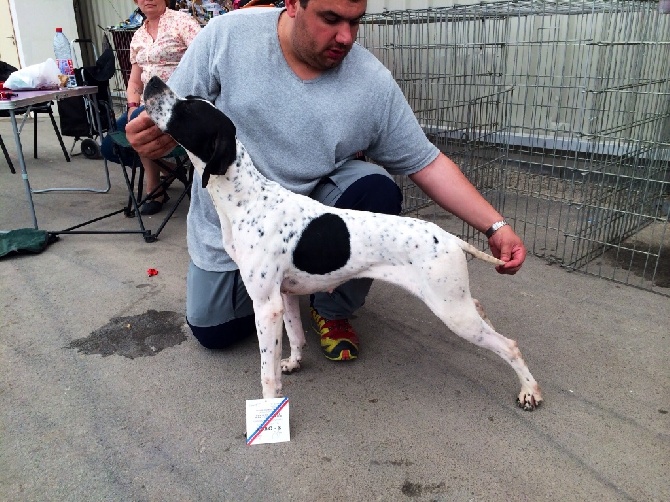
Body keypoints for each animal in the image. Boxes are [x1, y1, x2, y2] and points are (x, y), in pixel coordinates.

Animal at [144, 76, 544, 410]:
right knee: (479, 307)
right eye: (190, 99)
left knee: (509, 345)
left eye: (187, 110)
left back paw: (529, 391)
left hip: (451, 311)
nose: (152, 81)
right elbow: (296, 337)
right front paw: (293, 363)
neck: (248, 197)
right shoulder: (285, 296)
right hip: (454, 302)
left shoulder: (266, 305)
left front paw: (268, 408)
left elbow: (265, 370)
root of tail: (448, 237)